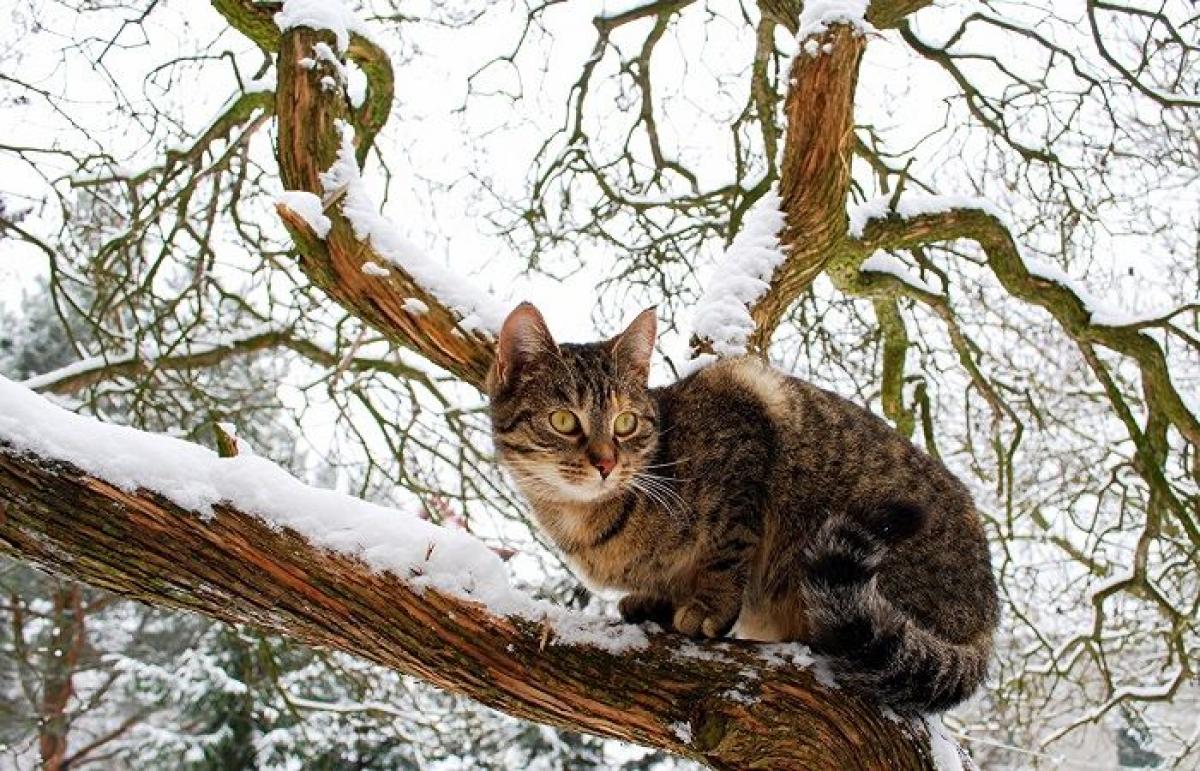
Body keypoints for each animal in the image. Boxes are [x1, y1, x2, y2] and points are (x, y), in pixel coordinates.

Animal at [482, 300, 998, 710]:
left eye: (626, 422)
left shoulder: (743, 416)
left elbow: (729, 545)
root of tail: (987, 625)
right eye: (564, 420)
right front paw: (655, 602)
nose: (606, 463)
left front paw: (709, 604)